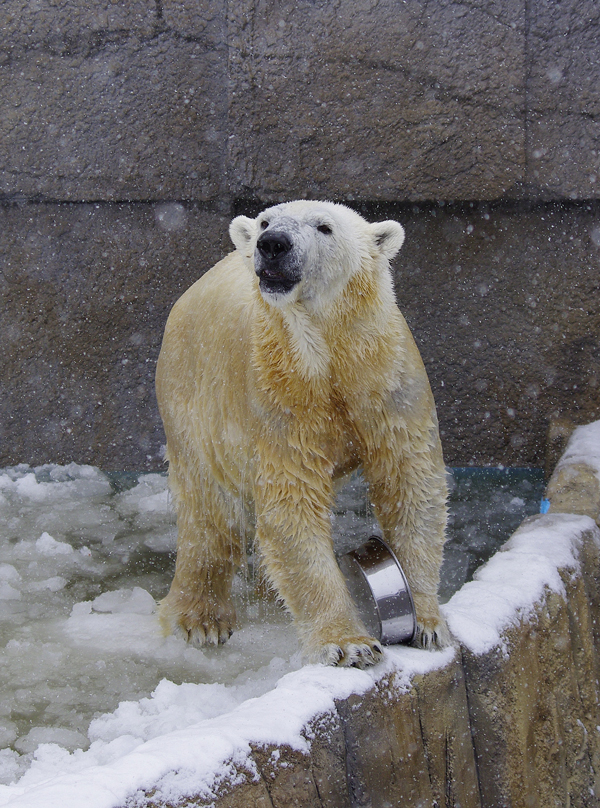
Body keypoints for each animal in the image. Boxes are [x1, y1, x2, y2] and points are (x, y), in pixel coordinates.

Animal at [157, 199, 448, 664]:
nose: (272, 244)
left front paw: (428, 622)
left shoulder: (386, 378)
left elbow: (411, 483)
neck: (330, 349)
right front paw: (349, 644)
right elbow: (293, 505)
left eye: (325, 227)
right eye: (264, 220)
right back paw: (201, 619)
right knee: (210, 509)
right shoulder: (279, 396)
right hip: (194, 397)